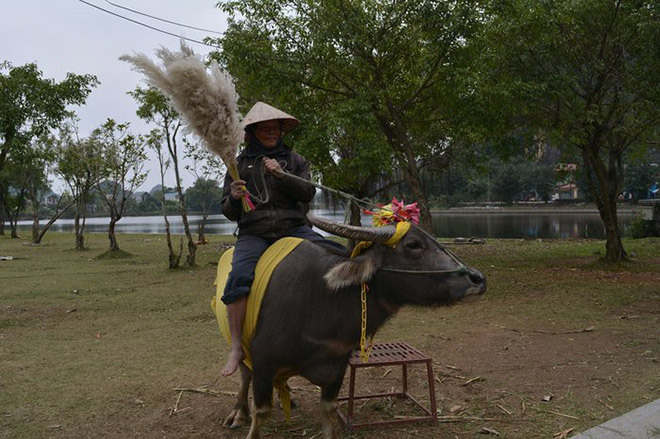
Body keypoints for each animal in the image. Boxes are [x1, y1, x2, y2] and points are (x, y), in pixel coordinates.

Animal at [222, 217, 484, 439]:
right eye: (413, 244)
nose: (478, 279)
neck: (320, 299)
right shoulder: (263, 362)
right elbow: (261, 411)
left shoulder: (337, 367)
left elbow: (328, 411)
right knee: (244, 374)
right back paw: (238, 413)